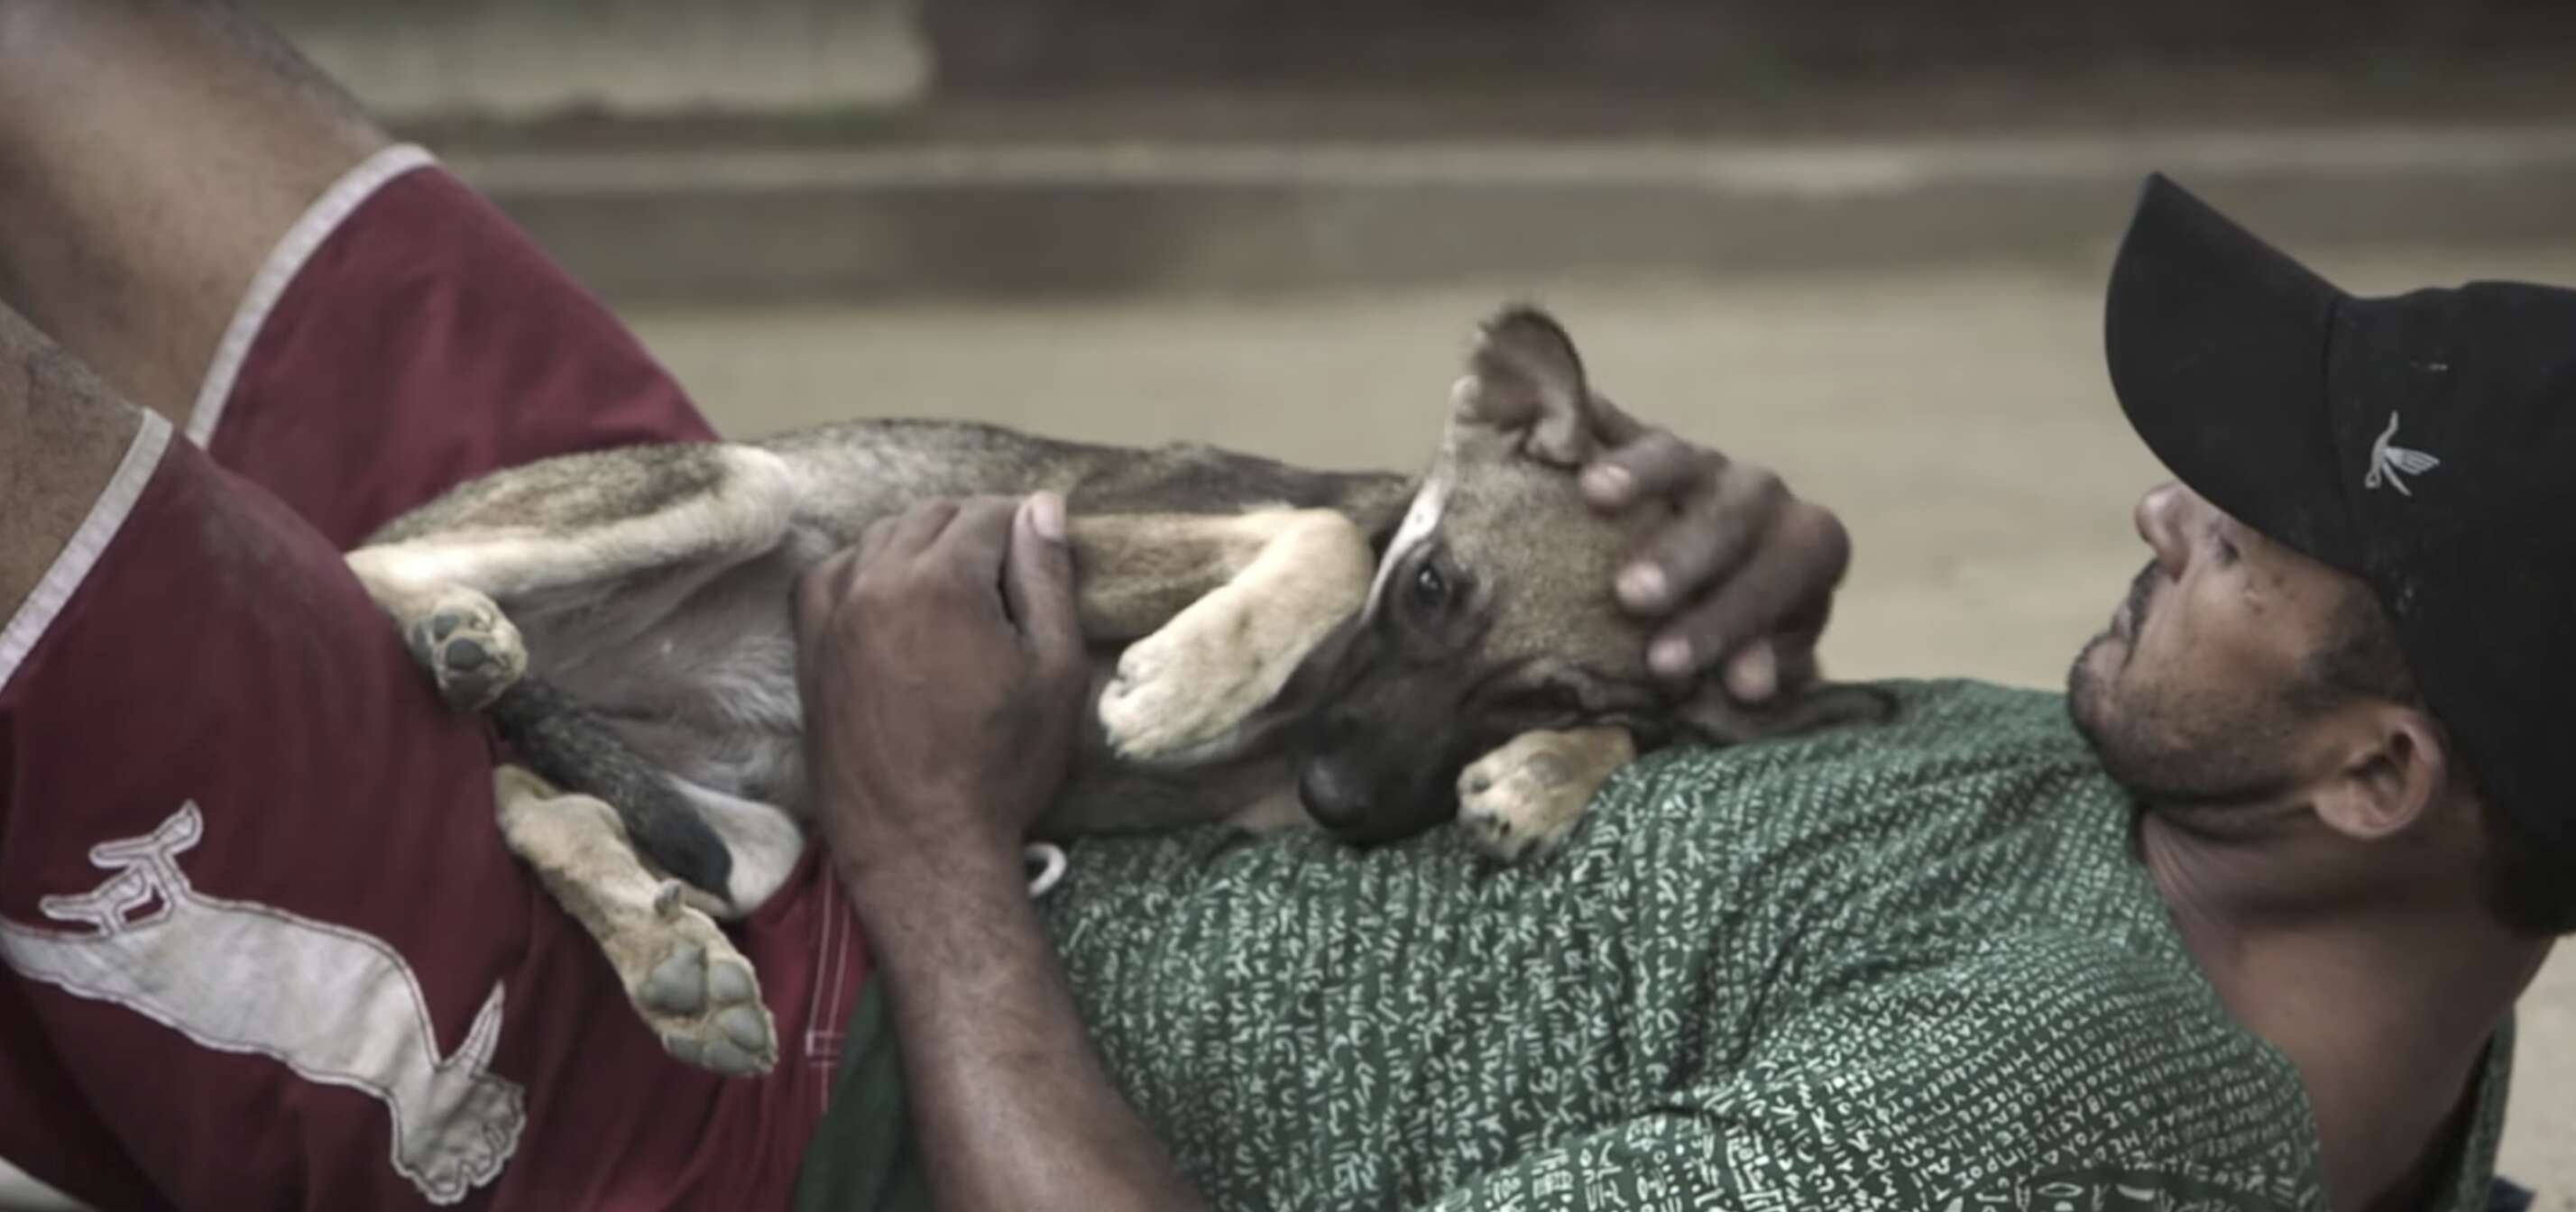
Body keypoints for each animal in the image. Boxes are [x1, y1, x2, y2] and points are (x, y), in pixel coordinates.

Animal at [342, 308, 1885, 1075]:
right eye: (1433, 586)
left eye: (1534, 695)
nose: (1341, 800)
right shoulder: (1056, 539)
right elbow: (1324, 543)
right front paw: (1182, 686)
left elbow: (1624, 720)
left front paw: (1543, 778)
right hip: (741, 487)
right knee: (363, 562)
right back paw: (463, 634)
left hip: (761, 834)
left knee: (529, 790)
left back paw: (669, 956)